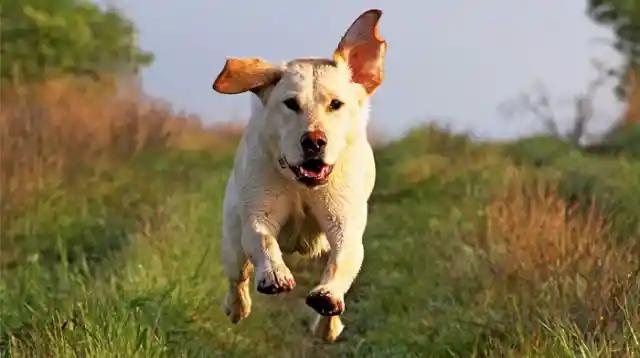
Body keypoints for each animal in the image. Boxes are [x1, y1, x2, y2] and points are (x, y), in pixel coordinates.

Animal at [212, 8, 388, 342]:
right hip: (232, 236)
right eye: (291, 104)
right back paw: (236, 307)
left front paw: (327, 298)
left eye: (336, 104)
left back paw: (328, 325)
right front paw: (275, 274)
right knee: (237, 276)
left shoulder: (344, 220)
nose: (314, 141)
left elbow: (344, 256)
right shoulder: (258, 214)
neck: (302, 186)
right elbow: (263, 239)